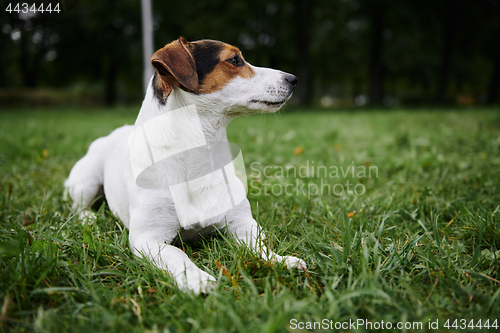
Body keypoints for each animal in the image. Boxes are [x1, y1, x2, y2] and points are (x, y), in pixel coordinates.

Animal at [64, 37, 306, 294]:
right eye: (234, 60)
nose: (293, 79)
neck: (198, 158)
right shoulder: (147, 238)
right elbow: (177, 255)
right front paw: (196, 278)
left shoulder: (242, 222)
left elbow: (259, 245)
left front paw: (281, 260)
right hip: (86, 182)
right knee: (77, 205)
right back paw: (88, 218)